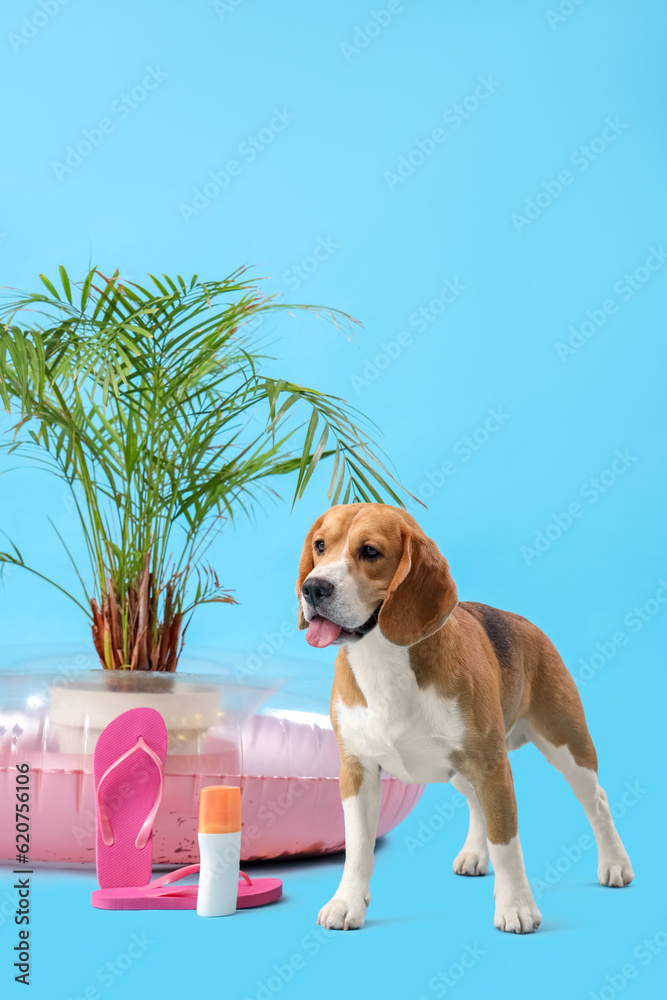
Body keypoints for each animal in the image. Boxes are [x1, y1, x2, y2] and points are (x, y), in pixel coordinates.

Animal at [298, 504, 636, 932]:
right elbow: (358, 846)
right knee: (477, 804)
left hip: (567, 747)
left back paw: (615, 863)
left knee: (598, 802)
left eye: (370, 552)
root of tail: (526, 623)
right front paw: (347, 902)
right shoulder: (357, 769)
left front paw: (516, 907)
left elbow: (506, 843)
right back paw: (475, 854)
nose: (313, 588)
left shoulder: (493, 768)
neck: (384, 661)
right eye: (320, 546)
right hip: (463, 770)